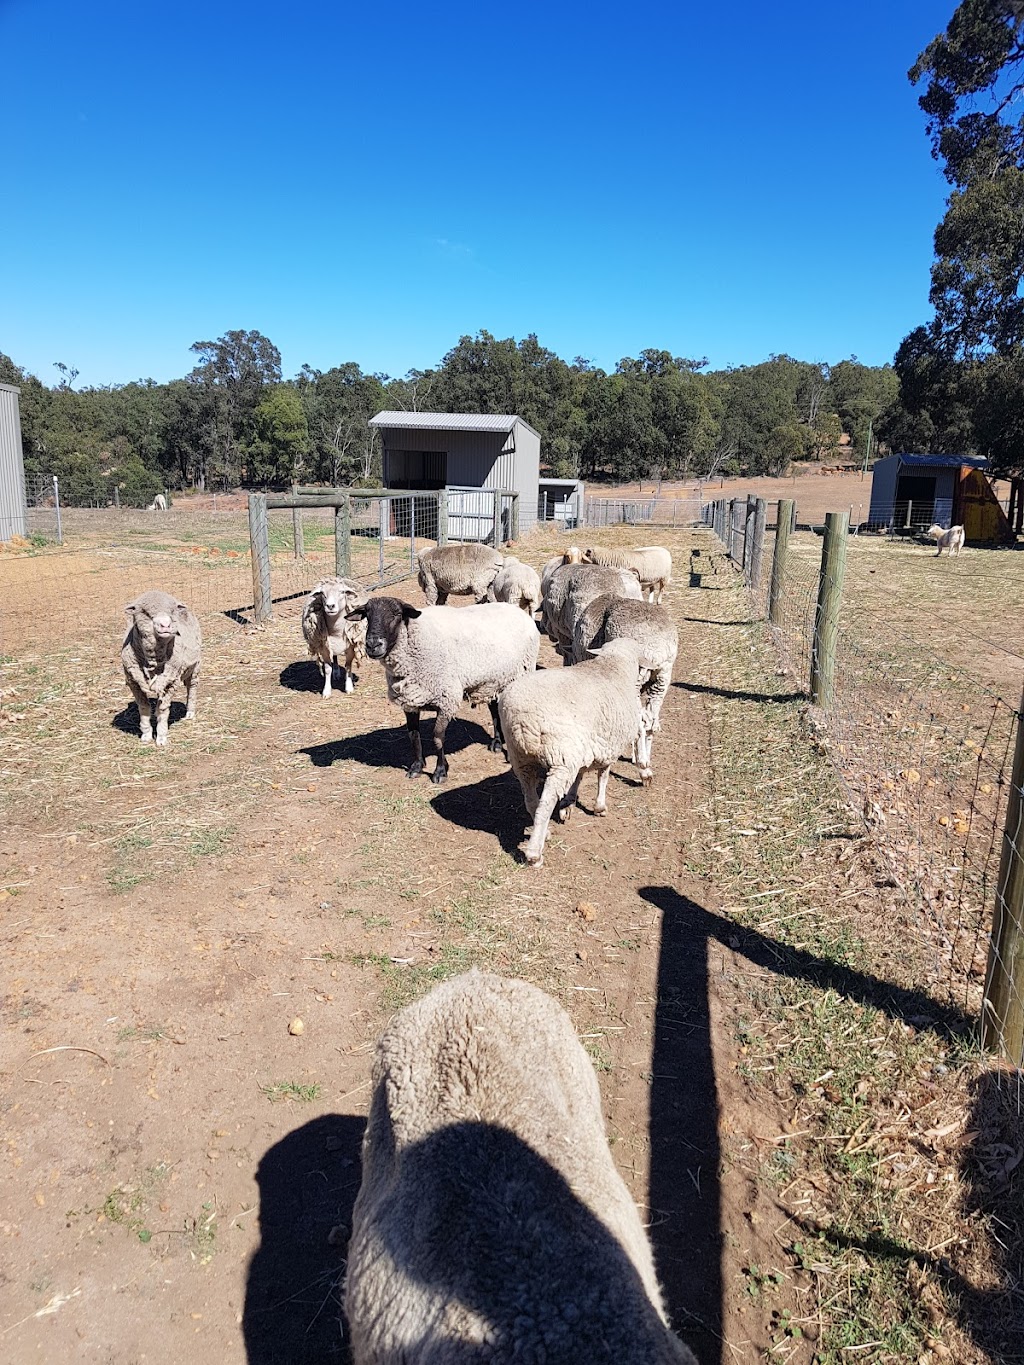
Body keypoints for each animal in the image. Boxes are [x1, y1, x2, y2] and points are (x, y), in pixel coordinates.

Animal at [120, 589, 202, 748]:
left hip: (195, 666)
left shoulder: (170, 682)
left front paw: (161, 737)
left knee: (192, 687)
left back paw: (190, 712)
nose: (165, 625)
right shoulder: (134, 682)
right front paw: (146, 735)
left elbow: (163, 710)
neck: (153, 660)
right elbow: (144, 708)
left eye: (172, 611)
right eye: (144, 612)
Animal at [349, 595, 540, 786]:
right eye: (366, 614)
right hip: (494, 680)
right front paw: (417, 767)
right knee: (494, 709)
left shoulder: (446, 699)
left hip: (520, 673)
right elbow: (413, 736)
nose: (373, 645)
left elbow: (437, 737)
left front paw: (440, 771)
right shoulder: (410, 701)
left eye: (397, 614)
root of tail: (516, 609)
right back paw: (497, 743)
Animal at [499, 638, 649, 862]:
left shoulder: (586, 747)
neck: (612, 665)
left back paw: (544, 833)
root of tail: (522, 719)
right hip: (559, 759)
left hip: (522, 758)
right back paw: (534, 853)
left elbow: (580, 775)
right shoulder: (609, 745)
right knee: (545, 804)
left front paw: (569, 803)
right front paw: (600, 806)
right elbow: (604, 775)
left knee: (531, 800)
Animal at [573, 597, 677, 780]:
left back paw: (643, 766)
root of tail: (653, 650)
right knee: (651, 720)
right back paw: (646, 763)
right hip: (662, 679)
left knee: (640, 720)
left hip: (634, 682)